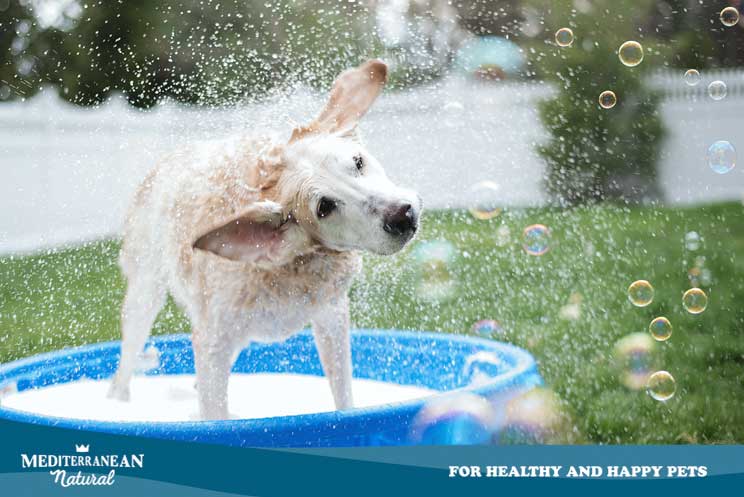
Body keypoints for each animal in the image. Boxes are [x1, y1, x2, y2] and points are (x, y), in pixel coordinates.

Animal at [107, 60, 422, 420]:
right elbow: (214, 414)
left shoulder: (331, 317)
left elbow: (343, 395)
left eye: (358, 161)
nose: (402, 215)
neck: (289, 266)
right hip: (145, 292)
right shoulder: (213, 340)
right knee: (126, 364)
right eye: (324, 207)